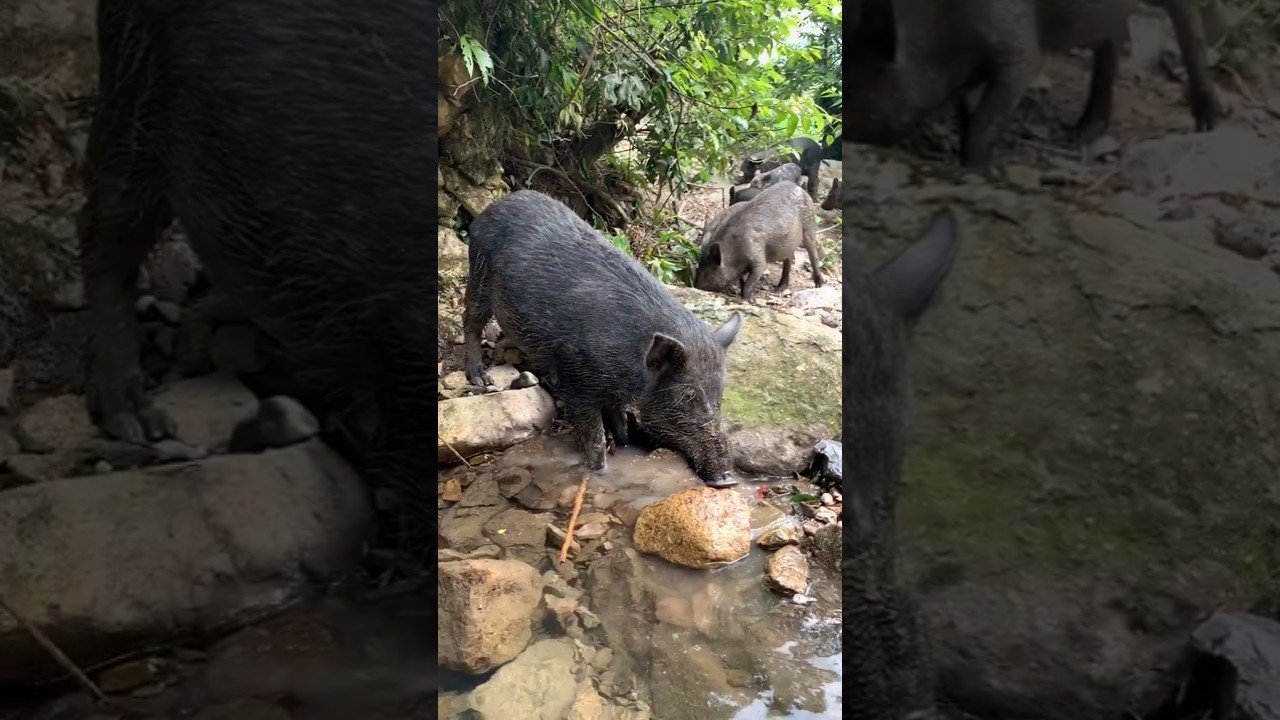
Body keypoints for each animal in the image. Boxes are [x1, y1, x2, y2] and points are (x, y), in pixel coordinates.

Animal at [463, 190, 744, 488]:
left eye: (720, 394)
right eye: (687, 396)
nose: (728, 479)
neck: (630, 367)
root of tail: (496, 205)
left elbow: (621, 426)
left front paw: (622, 443)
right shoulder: (576, 382)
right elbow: (594, 437)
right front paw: (599, 472)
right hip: (479, 275)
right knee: (470, 320)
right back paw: (479, 378)